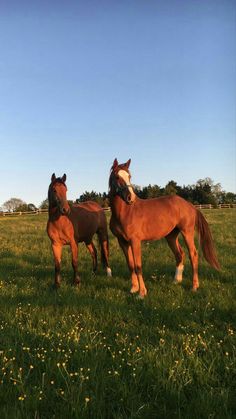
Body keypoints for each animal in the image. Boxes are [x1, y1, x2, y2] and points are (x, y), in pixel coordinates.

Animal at [109, 158, 219, 298]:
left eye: (129, 176)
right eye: (117, 177)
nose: (130, 198)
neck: (125, 212)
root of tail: (190, 205)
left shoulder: (135, 241)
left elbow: (138, 266)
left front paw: (142, 293)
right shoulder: (122, 241)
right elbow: (130, 265)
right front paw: (133, 288)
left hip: (187, 232)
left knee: (193, 254)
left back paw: (194, 286)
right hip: (171, 236)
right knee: (179, 254)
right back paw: (176, 280)